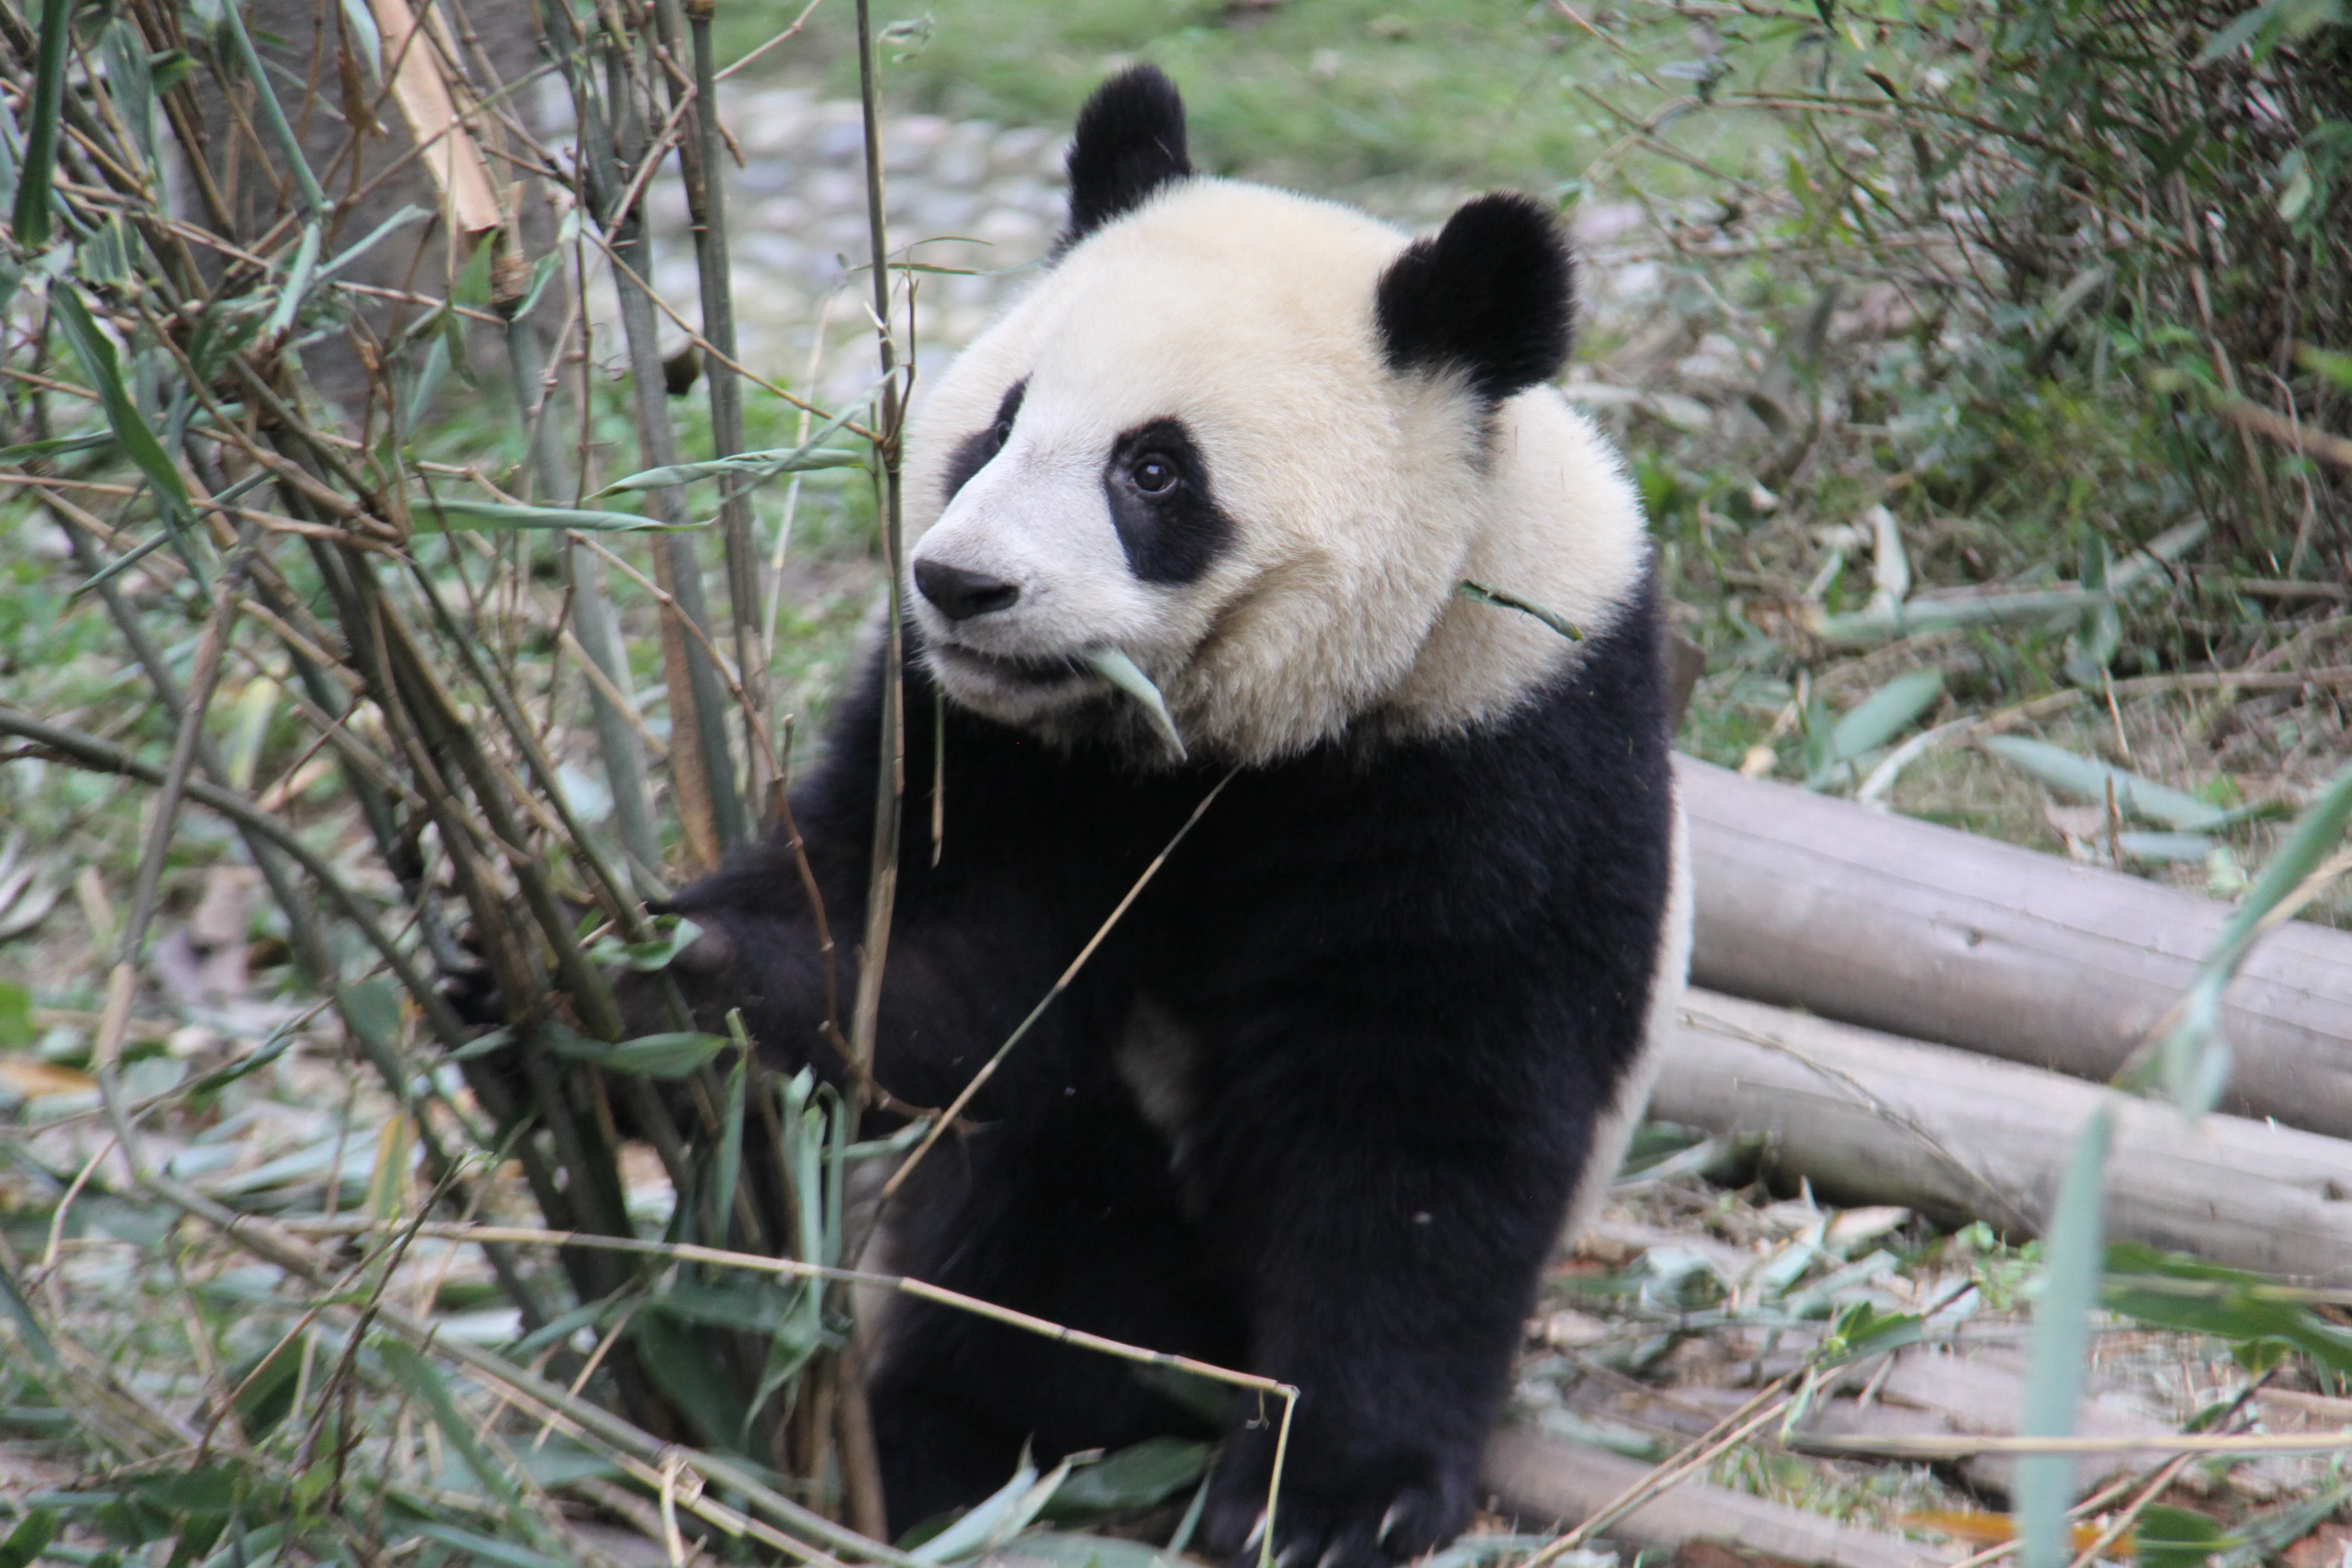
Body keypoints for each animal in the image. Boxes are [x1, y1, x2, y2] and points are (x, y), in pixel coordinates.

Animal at [656, 64, 1690, 1568]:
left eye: (1153, 472)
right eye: (999, 424)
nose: (961, 586)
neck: (1222, 741)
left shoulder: (1502, 733)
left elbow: (1421, 1123)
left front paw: (1331, 1496)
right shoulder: (986, 746)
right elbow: (929, 954)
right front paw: (661, 966)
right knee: (1039, 1232)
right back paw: (938, 1443)